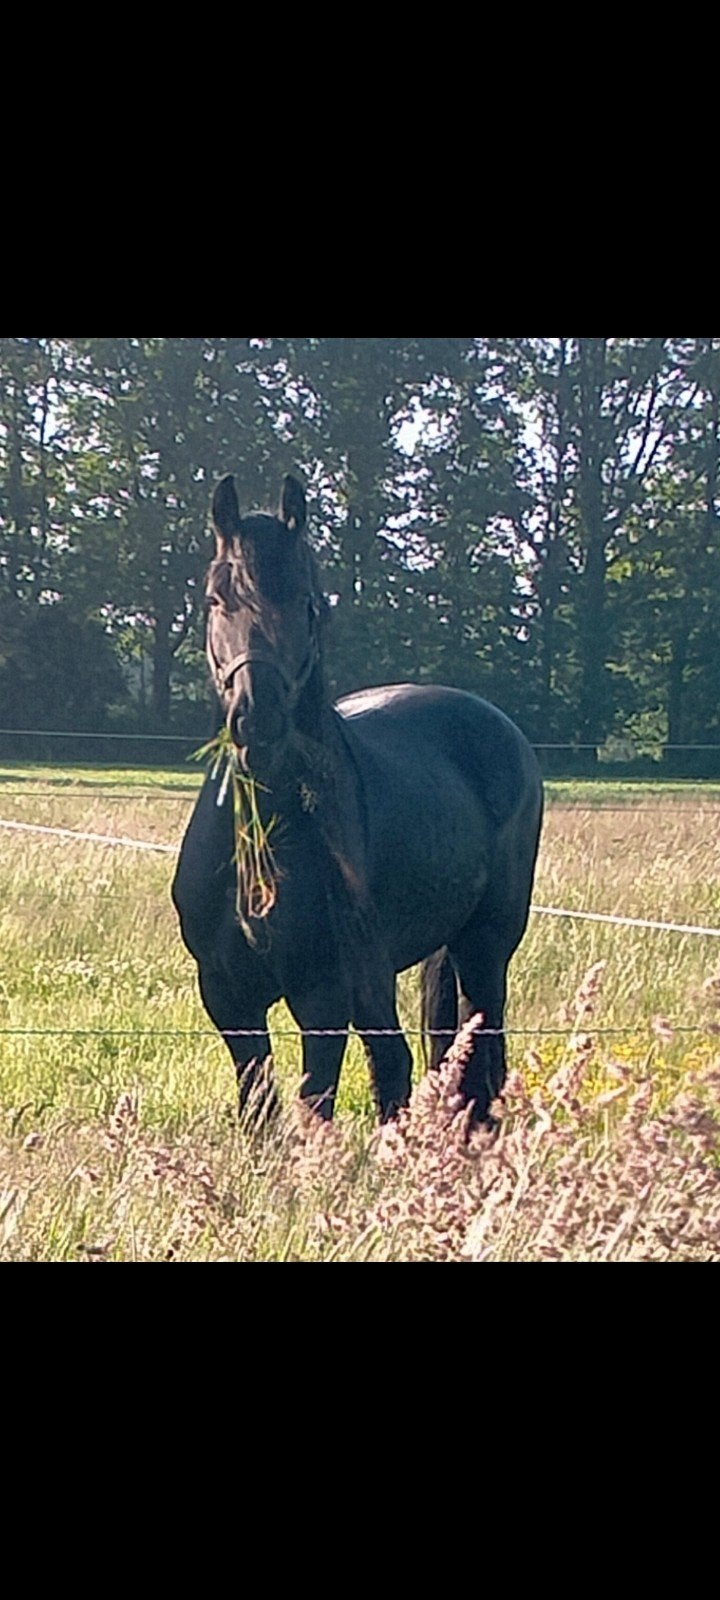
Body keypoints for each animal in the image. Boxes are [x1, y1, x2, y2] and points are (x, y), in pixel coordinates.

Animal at [172, 474, 543, 1126]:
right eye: (217, 600)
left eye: (307, 604)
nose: (258, 720)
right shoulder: (227, 995)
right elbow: (260, 1108)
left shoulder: (321, 995)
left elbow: (313, 1105)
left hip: (483, 944)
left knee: (474, 1052)